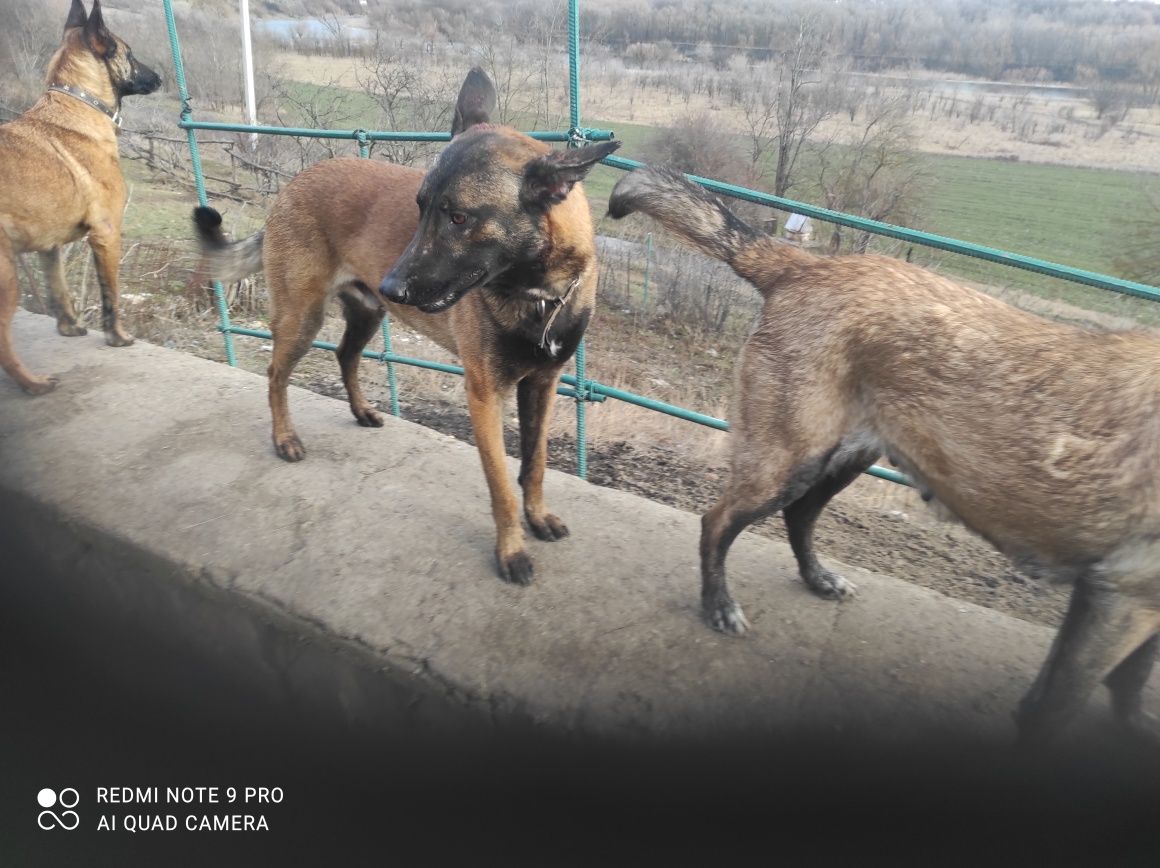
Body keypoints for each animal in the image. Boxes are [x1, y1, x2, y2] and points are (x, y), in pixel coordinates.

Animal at [0, 0, 163, 392]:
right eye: (128, 53)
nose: (159, 78)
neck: (78, 102)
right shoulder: (107, 233)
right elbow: (111, 295)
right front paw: (118, 337)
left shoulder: (49, 247)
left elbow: (58, 289)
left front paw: (69, 327)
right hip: (6, 277)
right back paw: (33, 383)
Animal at [194, 67, 621, 582]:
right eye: (420, 207)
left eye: (459, 217)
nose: (392, 285)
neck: (539, 294)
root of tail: (295, 181)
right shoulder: (485, 395)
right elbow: (500, 485)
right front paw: (512, 551)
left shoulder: (542, 384)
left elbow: (534, 464)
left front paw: (537, 517)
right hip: (303, 317)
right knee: (277, 375)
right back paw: (285, 439)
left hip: (366, 314)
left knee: (345, 355)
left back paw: (361, 411)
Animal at [607, 165, 1160, 742]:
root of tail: (809, 265)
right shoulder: (1121, 601)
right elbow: (1056, 707)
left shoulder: (1124, 604)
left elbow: (1130, 678)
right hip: (788, 460)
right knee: (717, 521)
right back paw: (720, 606)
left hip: (843, 458)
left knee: (799, 516)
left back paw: (818, 578)